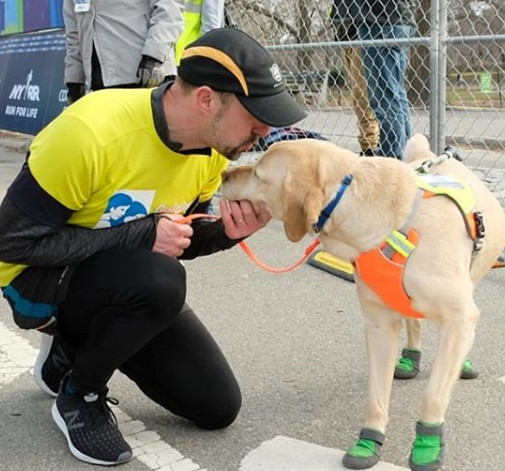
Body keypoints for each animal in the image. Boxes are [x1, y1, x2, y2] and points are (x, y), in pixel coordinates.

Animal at [222, 135, 504, 471]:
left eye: (258, 174)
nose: (224, 174)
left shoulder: (459, 318)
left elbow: (433, 395)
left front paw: (428, 444)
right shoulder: (379, 324)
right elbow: (376, 395)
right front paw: (369, 440)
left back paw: (461, 363)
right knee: (414, 322)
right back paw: (410, 357)